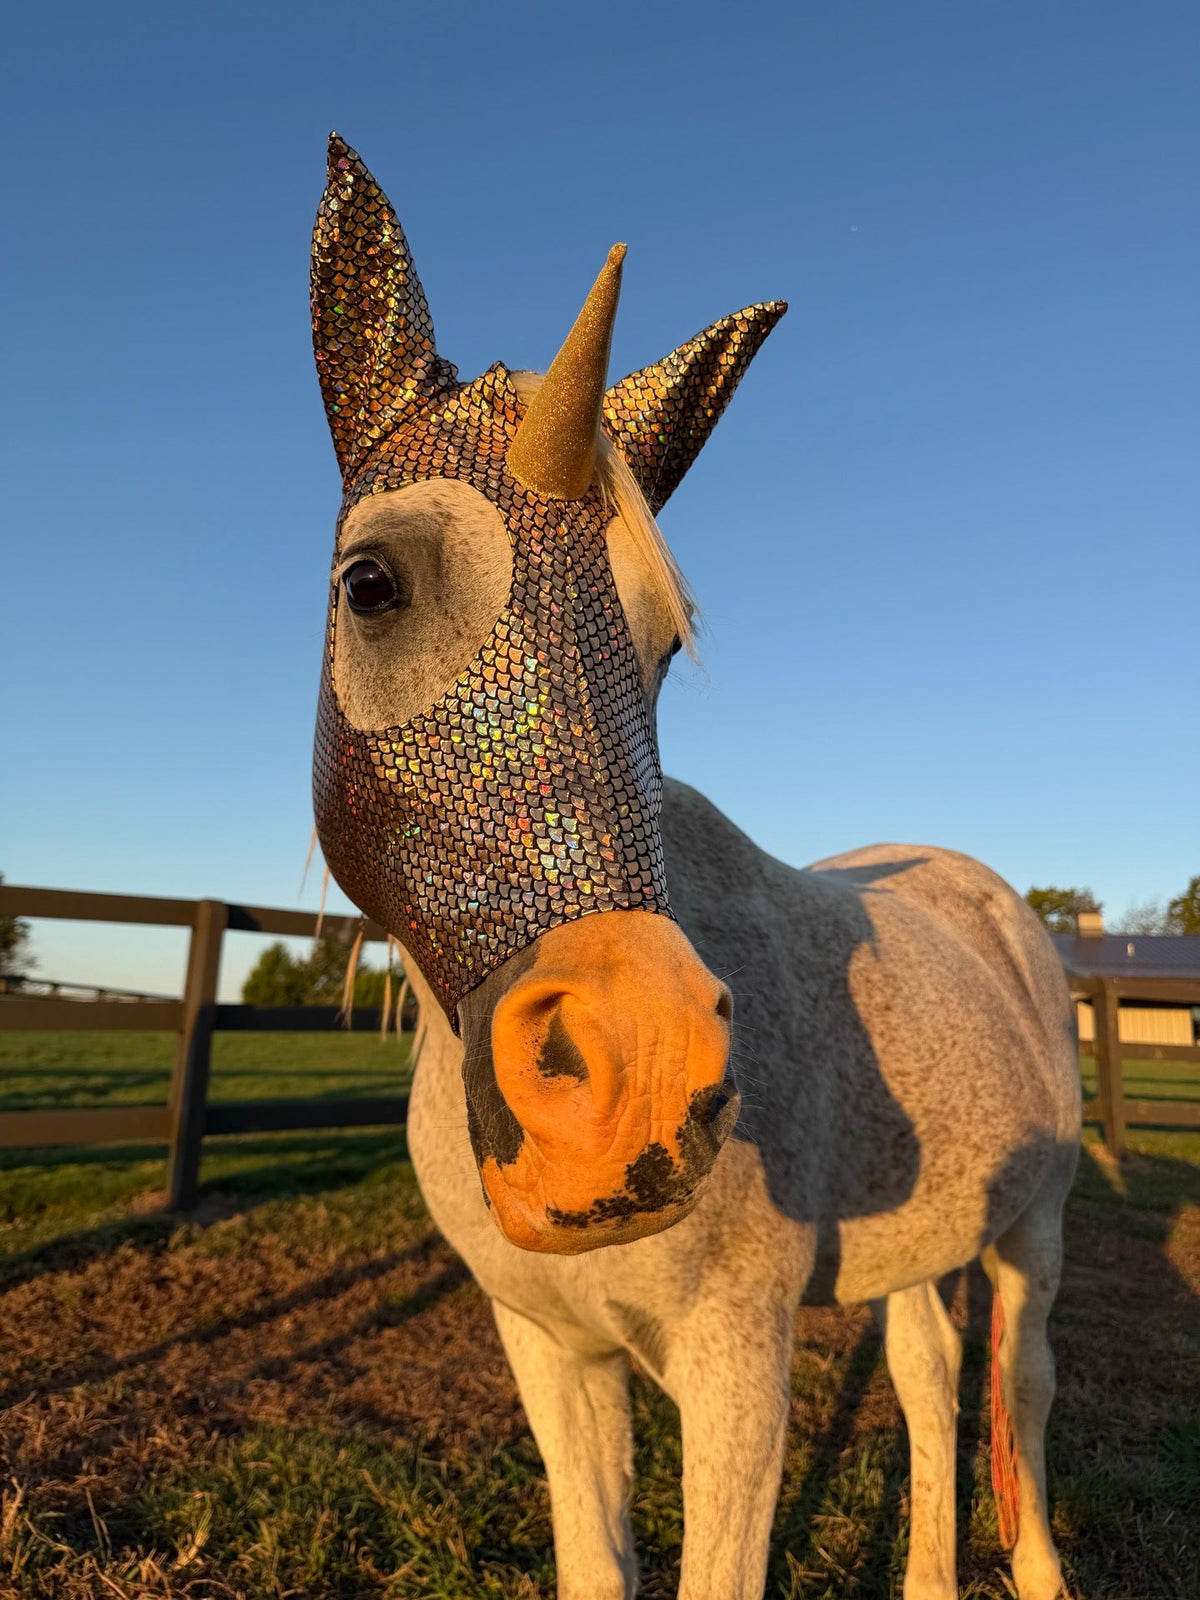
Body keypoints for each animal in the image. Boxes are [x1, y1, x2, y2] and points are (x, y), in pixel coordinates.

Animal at [310, 134, 1081, 1600]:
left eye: (666, 643)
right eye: (369, 582)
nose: (637, 1086)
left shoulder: (739, 1362)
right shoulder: (551, 1350)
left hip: (1034, 1232)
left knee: (1022, 1385)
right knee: (930, 1370)